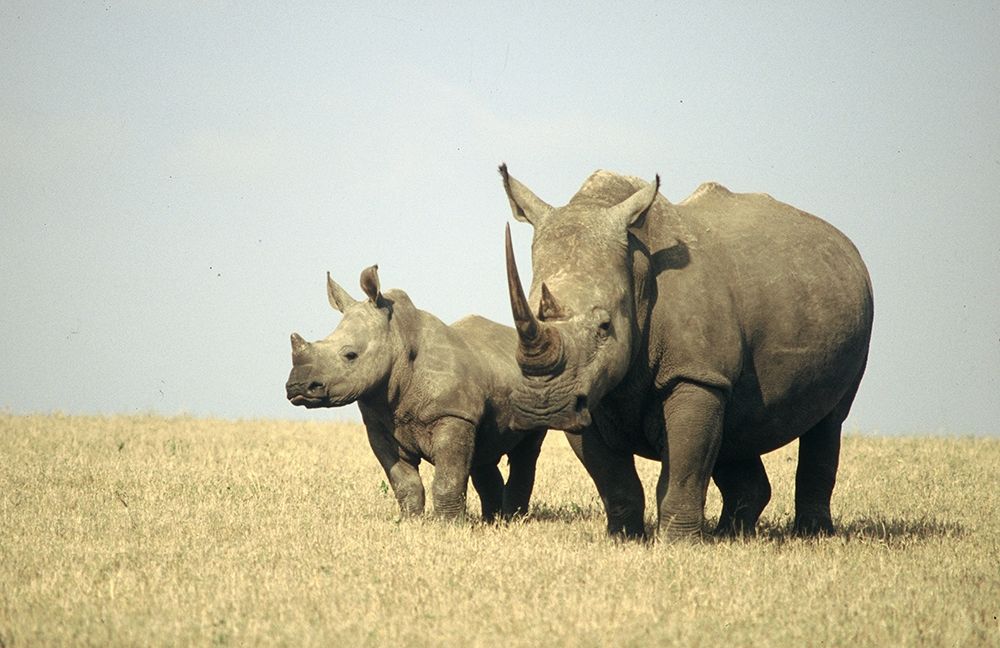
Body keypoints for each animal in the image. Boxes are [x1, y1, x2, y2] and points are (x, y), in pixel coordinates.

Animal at [285, 265, 546, 522]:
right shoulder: (380, 424)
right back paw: (494, 521)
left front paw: (448, 525)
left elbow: (447, 479)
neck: (398, 340)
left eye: (350, 355)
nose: (297, 387)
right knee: (484, 452)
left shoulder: (452, 414)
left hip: (539, 387)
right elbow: (404, 483)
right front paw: (411, 522)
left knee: (525, 452)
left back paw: (514, 519)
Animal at [499, 165, 873, 540]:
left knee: (828, 422)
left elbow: (685, 467)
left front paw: (677, 543)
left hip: (857, 310)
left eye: (605, 327)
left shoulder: (695, 373)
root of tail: (846, 244)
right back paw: (732, 536)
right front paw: (623, 538)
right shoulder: (584, 391)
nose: (543, 407)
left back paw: (813, 535)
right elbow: (614, 479)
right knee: (739, 425)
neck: (636, 269)